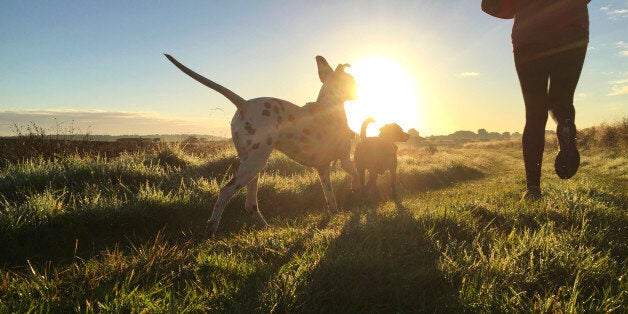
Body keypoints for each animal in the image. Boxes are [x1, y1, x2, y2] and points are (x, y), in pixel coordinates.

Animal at [166, 54, 364, 236]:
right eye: (352, 80)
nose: (359, 90)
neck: (330, 105)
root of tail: (245, 104)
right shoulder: (345, 159)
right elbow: (356, 174)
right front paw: (358, 189)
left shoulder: (323, 168)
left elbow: (330, 197)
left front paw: (335, 213)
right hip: (255, 163)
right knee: (225, 191)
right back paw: (212, 227)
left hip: (252, 166)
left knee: (250, 204)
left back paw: (265, 226)